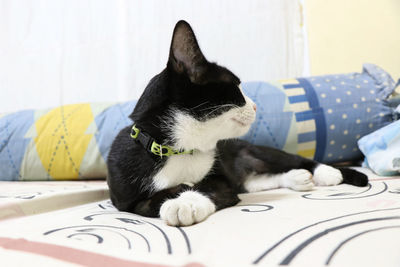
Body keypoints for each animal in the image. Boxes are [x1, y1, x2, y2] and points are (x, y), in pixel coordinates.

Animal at [107, 20, 368, 226]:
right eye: (235, 87)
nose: (255, 106)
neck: (177, 149)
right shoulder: (123, 197)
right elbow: (144, 204)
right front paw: (178, 192)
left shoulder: (221, 179)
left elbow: (211, 186)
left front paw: (185, 204)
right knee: (257, 182)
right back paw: (296, 178)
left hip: (257, 151)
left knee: (292, 160)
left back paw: (328, 172)